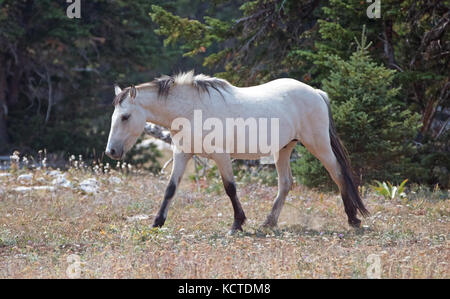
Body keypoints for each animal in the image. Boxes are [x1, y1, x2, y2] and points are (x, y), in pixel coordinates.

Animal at [106, 71, 370, 234]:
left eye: (125, 116)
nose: (111, 151)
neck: (192, 109)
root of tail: (316, 92)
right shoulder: (182, 154)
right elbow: (170, 189)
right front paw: (157, 223)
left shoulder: (221, 157)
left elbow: (230, 188)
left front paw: (237, 224)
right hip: (284, 149)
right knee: (285, 183)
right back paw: (268, 222)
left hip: (318, 144)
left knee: (337, 173)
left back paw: (353, 219)